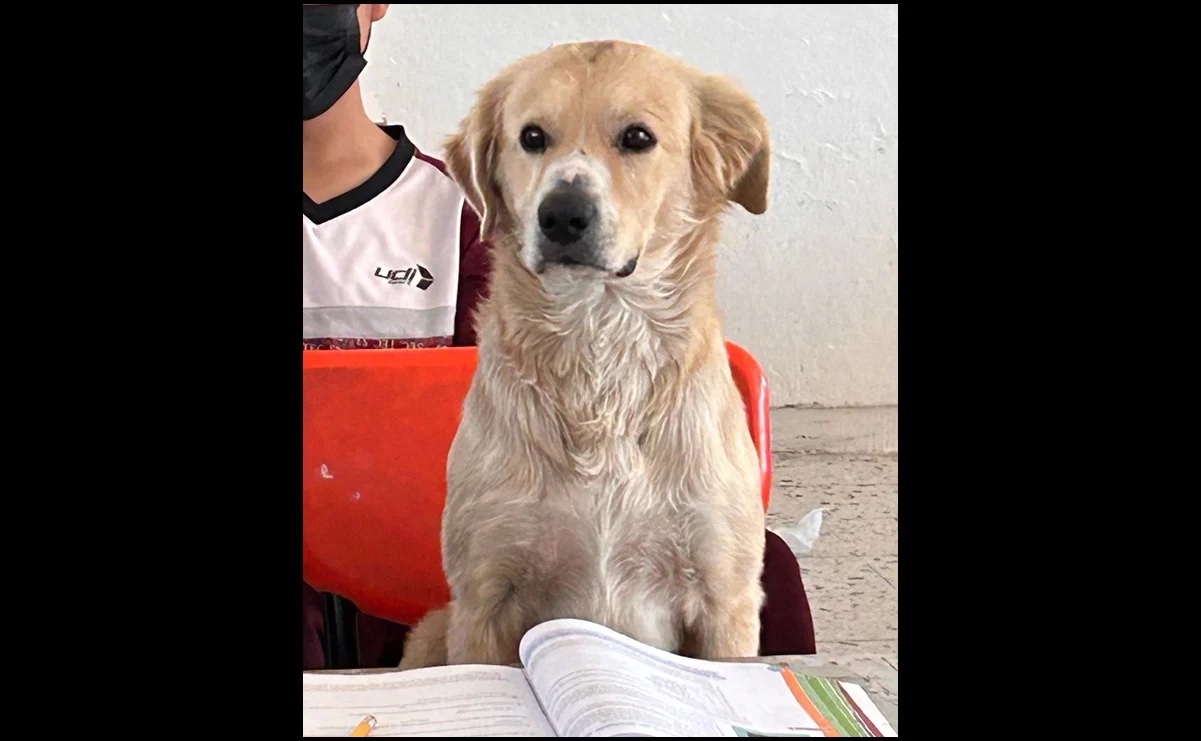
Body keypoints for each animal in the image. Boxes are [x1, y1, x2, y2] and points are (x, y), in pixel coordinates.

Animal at [403, 37, 773, 667]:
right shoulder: (484, 596)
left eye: (638, 137)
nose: (561, 215)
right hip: (434, 628)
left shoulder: (725, 597)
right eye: (531, 137)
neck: (599, 344)